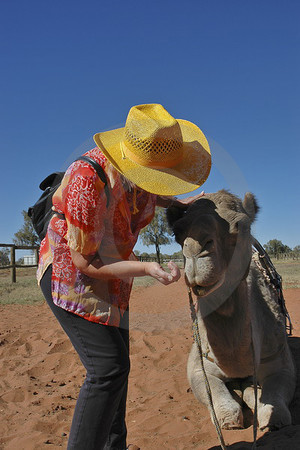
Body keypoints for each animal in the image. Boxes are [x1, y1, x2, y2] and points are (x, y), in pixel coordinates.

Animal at [168, 190, 296, 428]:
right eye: (176, 232)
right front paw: (229, 417)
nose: (196, 251)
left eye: (241, 226)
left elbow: (276, 409)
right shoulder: (199, 364)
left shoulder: (280, 362)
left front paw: (267, 414)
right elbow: (223, 403)